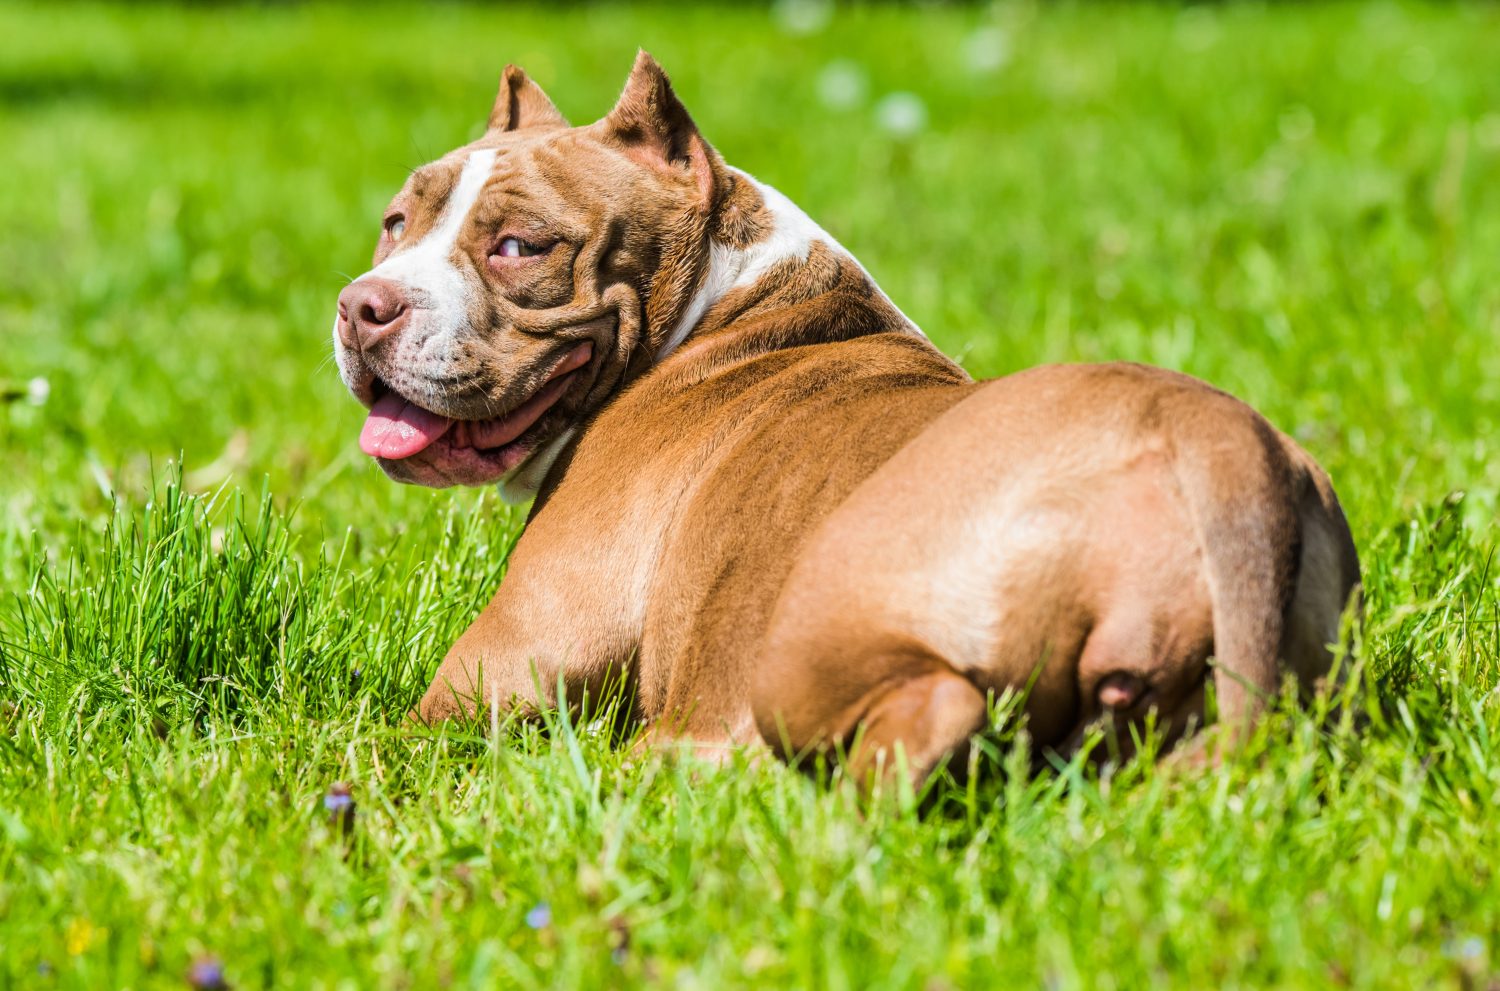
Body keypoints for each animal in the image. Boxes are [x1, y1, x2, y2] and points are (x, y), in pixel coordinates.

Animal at [334, 53, 1368, 785]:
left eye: (519, 246)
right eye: (395, 222)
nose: (361, 306)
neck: (721, 299)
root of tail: (1214, 443)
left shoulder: (512, 657)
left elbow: (376, 736)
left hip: (813, 623)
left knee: (917, 724)